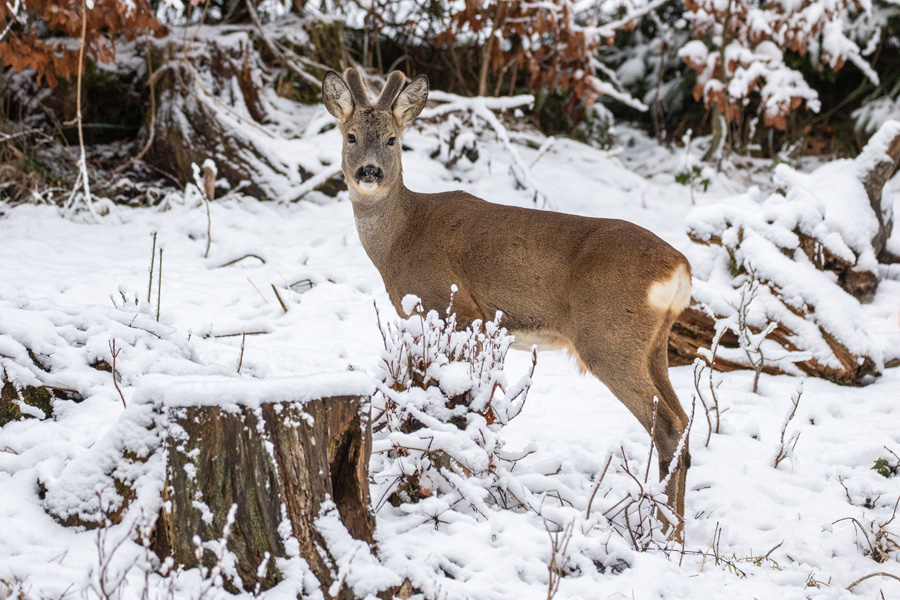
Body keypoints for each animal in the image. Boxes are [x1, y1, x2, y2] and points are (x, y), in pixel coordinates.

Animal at [324, 69, 696, 536]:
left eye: (392, 139)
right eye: (351, 136)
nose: (369, 171)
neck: (401, 237)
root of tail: (680, 268)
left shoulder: (457, 309)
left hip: (609, 338)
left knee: (666, 425)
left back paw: (664, 532)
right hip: (653, 344)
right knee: (685, 422)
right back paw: (676, 532)